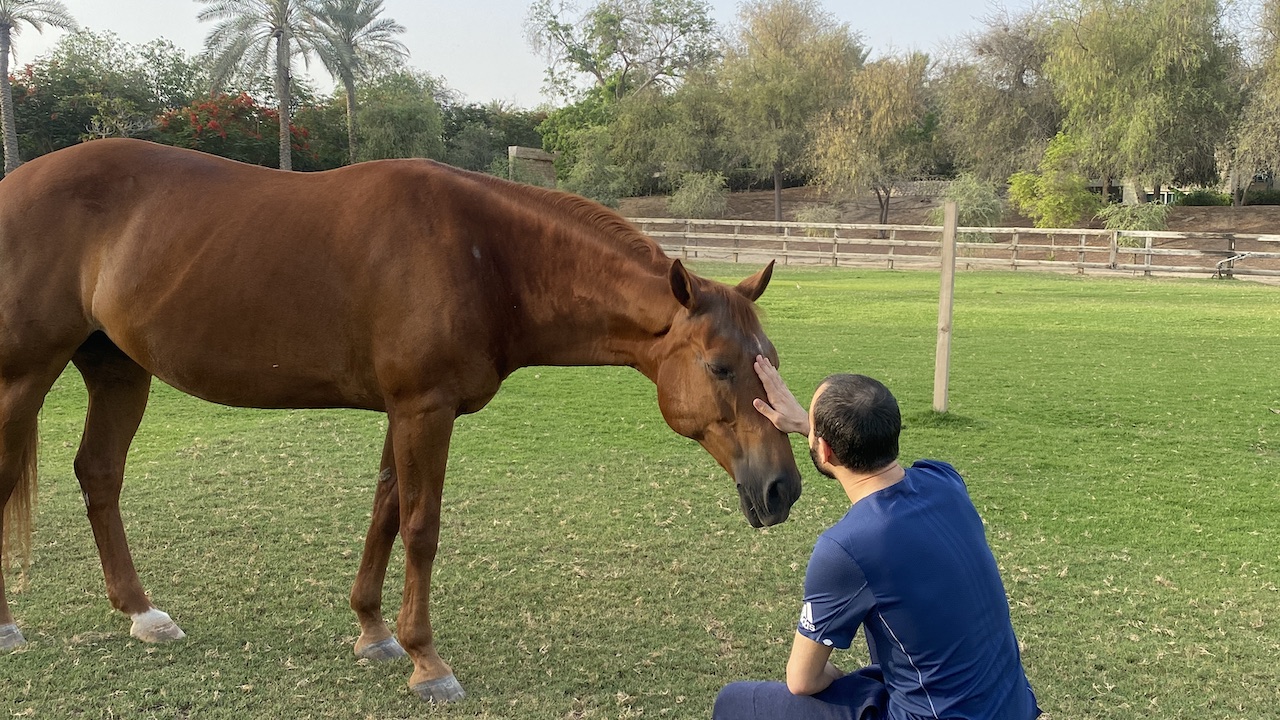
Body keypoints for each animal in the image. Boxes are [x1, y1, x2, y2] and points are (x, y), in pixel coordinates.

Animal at [0, 140, 798, 702]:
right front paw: (426, 660)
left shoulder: (403, 410)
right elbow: (420, 526)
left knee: (99, 475)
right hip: (23, 375)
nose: (783, 488)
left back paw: (142, 613)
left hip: (117, 370)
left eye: (771, 358)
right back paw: (11, 626)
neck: (486, 255)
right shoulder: (424, 409)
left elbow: (385, 508)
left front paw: (373, 632)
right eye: (721, 366)